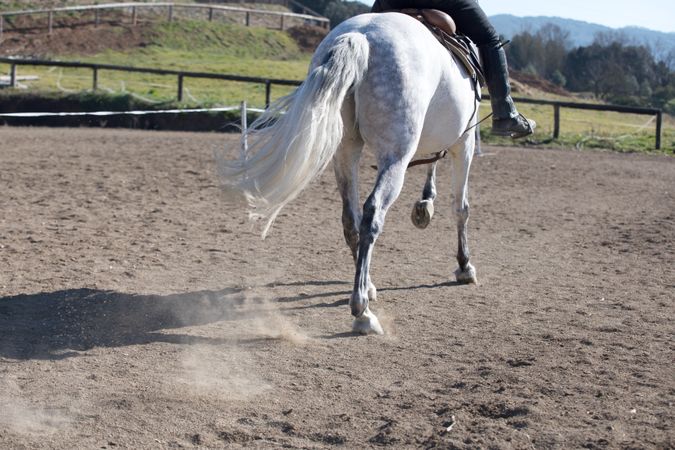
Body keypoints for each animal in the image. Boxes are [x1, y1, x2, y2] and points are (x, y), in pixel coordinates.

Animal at [219, 11, 478, 334]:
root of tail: (362, 35)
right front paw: (464, 266)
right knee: (372, 214)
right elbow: (461, 208)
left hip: (345, 151)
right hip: (395, 158)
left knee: (350, 219)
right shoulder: (465, 143)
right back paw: (362, 311)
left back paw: (367, 287)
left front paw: (425, 204)